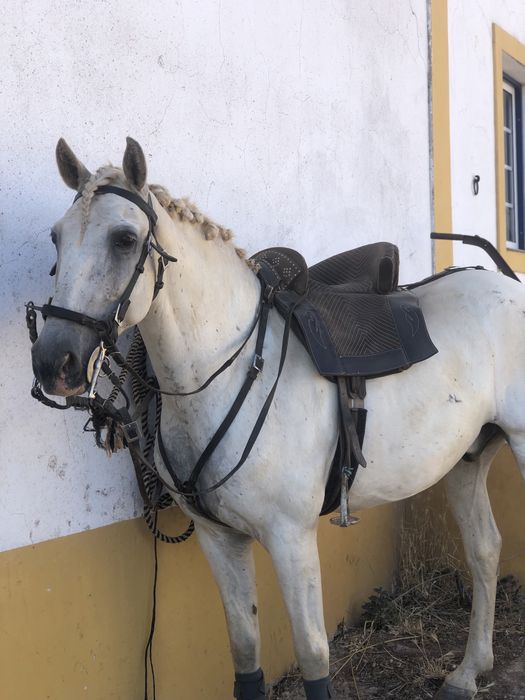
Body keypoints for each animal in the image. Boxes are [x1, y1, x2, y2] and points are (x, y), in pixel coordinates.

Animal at [30, 137, 525, 700]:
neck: (227, 371)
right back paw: (468, 671)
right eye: (56, 237)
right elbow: (244, 649)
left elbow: (313, 653)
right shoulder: (219, 539)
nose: (55, 363)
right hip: (467, 459)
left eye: (124, 238)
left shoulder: (292, 538)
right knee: (485, 550)